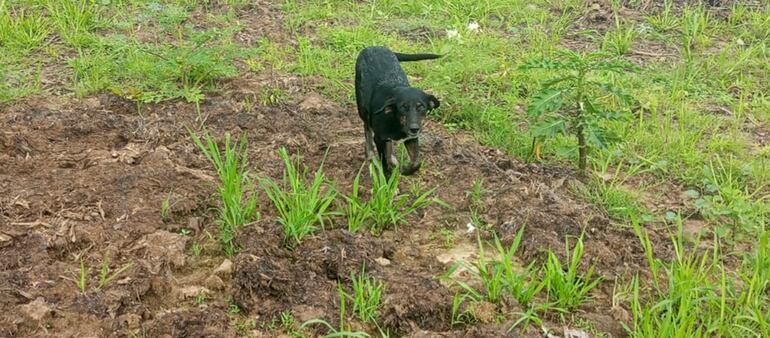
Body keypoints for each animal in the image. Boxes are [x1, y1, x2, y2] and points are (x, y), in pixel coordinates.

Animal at [352, 46, 438, 177]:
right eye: (403, 107)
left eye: (421, 107)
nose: (414, 128)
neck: (396, 122)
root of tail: (374, 46)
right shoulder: (379, 138)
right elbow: (384, 165)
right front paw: (386, 180)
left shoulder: (411, 138)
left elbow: (416, 162)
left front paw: (405, 170)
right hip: (363, 109)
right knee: (367, 128)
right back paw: (370, 154)